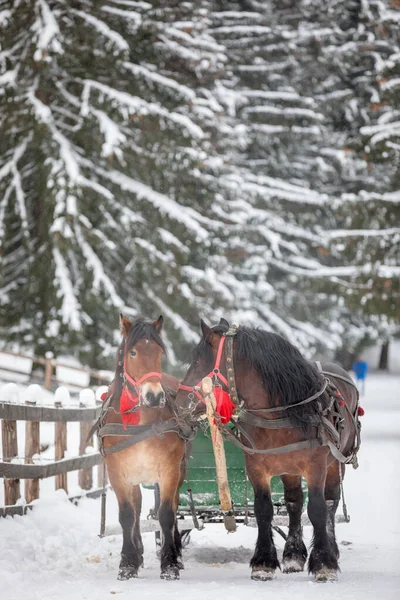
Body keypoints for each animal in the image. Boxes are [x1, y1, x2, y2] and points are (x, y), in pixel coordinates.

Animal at [100, 316, 188, 580]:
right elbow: (127, 516)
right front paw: (128, 562)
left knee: (173, 505)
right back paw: (137, 553)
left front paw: (170, 563)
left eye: (159, 352)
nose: (154, 396)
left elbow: (167, 514)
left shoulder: (170, 470)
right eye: (134, 352)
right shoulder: (118, 473)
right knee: (137, 508)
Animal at [177, 318, 360, 580]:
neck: (281, 413)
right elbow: (264, 510)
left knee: (330, 503)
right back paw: (293, 555)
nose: (177, 404)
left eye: (198, 362)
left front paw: (324, 563)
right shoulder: (257, 467)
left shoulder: (316, 467)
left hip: (336, 462)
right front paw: (264, 562)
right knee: (294, 503)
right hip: (289, 469)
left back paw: (330, 550)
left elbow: (317, 510)